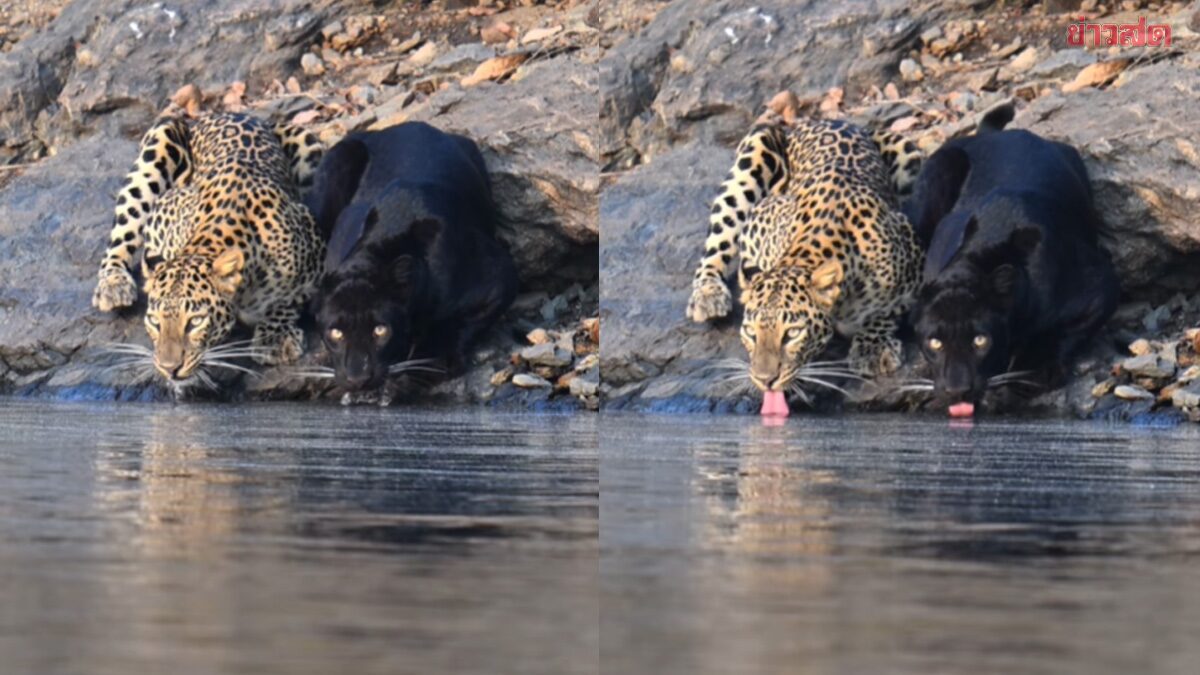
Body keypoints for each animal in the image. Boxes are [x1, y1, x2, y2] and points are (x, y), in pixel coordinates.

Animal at [91, 110, 325, 386]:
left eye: (195, 322)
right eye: (154, 321)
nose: (169, 368)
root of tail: (223, 112)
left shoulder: (315, 239)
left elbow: (287, 297)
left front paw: (275, 337)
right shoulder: (162, 214)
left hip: (308, 144)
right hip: (159, 140)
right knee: (122, 231)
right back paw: (114, 284)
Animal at [685, 109, 924, 399]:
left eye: (792, 333)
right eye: (751, 333)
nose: (765, 380)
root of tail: (824, 119)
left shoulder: (915, 253)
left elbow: (885, 310)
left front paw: (873, 347)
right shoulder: (759, 220)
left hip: (908, 152)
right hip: (755, 146)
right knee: (717, 242)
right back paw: (708, 294)